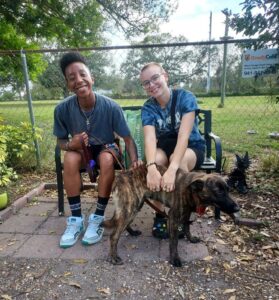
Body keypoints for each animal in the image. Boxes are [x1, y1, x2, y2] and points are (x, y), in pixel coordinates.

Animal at [104, 164, 240, 268]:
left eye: (228, 190)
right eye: (218, 192)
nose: (237, 208)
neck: (191, 190)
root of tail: (120, 176)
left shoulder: (187, 213)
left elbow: (187, 227)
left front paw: (190, 238)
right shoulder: (173, 218)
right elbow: (174, 242)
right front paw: (174, 259)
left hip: (136, 206)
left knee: (124, 224)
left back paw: (132, 232)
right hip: (130, 208)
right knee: (114, 235)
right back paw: (113, 257)